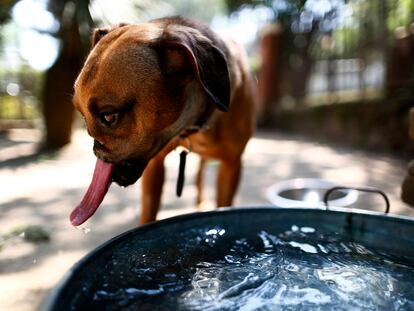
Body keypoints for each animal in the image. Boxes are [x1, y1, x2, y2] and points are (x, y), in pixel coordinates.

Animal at [71, 17, 256, 227]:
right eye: (83, 115)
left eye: (109, 117)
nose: (95, 148)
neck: (191, 126)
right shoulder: (155, 167)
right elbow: (148, 211)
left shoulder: (231, 166)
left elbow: (224, 204)